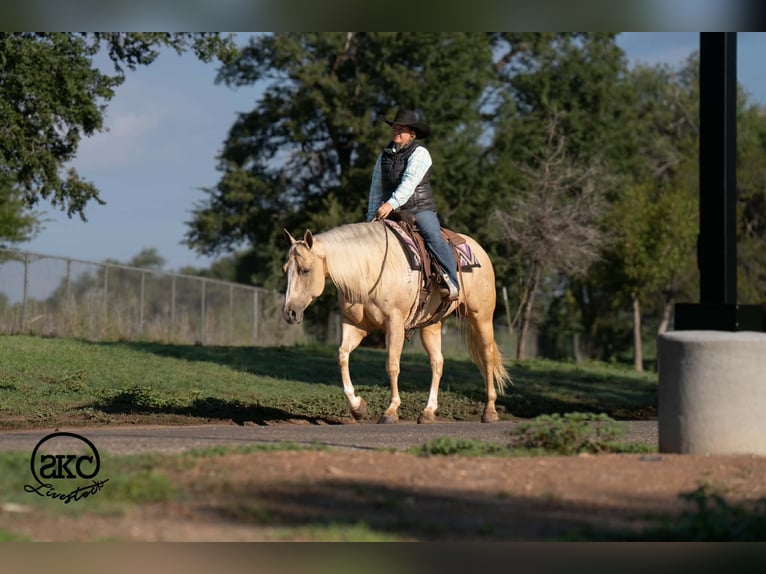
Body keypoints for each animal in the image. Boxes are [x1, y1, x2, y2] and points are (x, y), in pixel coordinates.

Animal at [281, 220, 511, 424]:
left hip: (481, 317)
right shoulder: (354, 326)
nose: (289, 313)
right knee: (437, 362)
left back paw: (490, 411)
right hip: (432, 325)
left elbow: (392, 365)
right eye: (285, 270)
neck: (368, 270)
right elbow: (342, 356)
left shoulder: (395, 324)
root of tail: (478, 249)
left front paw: (390, 411)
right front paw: (357, 407)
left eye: (305, 270)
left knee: (487, 356)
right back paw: (428, 412)